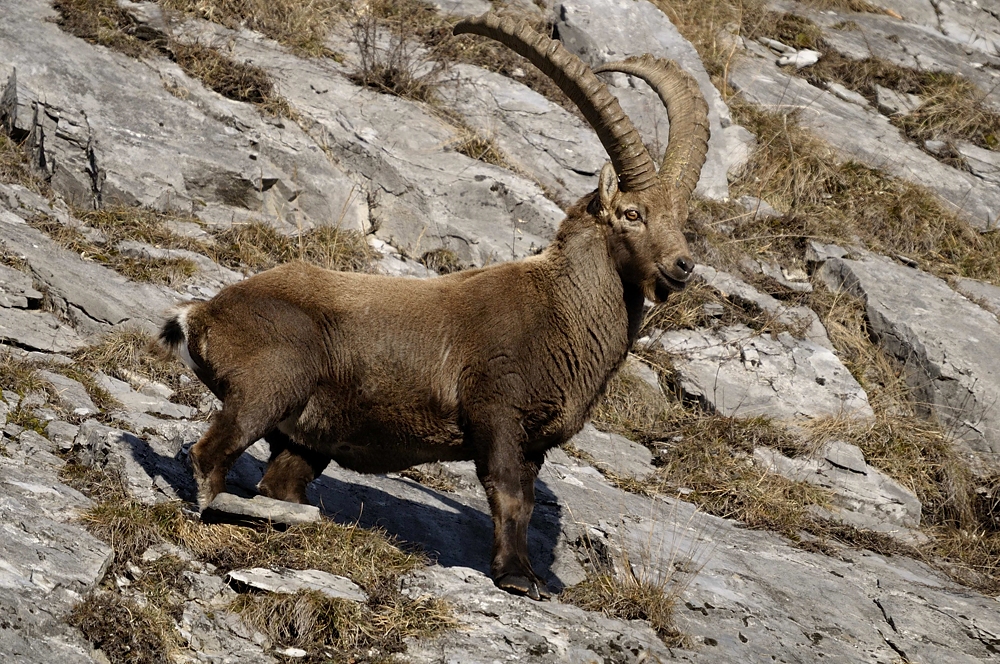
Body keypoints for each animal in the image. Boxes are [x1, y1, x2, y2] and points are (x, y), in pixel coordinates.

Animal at [157, 11, 709, 601]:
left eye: (679, 219)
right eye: (631, 213)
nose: (682, 266)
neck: (560, 307)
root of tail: (203, 315)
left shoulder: (534, 443)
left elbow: (527, 502)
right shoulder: (499, 414)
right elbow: (508, 495)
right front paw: (516, 577)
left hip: (309, 432)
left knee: (277, 483)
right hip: (269, 386)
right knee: (210, 458)